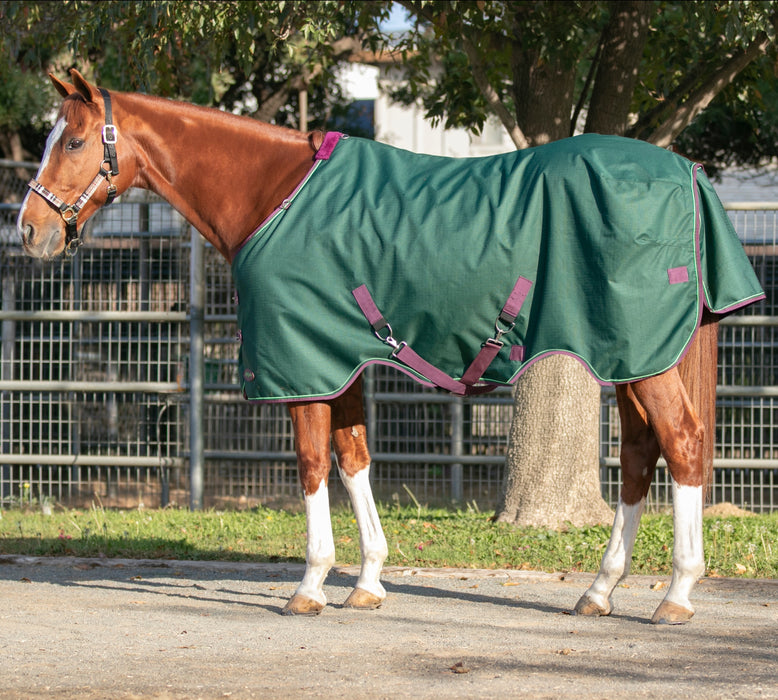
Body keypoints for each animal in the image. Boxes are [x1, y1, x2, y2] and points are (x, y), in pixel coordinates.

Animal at [17, 70, 764, 624]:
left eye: (74, 141)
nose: (28, 231)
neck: (273, 194)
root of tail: (688, 172)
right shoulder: (337, 361)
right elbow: (354, 461)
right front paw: (368, 581)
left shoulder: (304, 366)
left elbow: (311, 466)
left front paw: (310, 586)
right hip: (638, 358)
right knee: (641, 456)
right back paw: (600, 592)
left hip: (645, 360)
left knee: (683, 444)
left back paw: (676, 595)